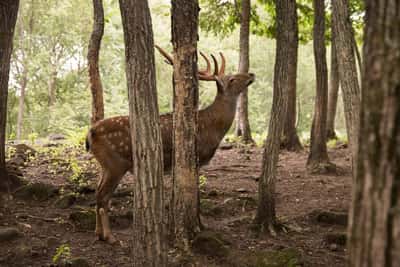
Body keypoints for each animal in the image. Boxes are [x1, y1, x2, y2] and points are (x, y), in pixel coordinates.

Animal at [85, 46, 255, 245]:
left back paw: (98, 233)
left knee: (97, 193)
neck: (213, 127)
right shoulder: (197, 156)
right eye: (232, 79)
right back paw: (109, 236)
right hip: (116, 164)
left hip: (106, 164)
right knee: (103, 196)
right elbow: (195, 191)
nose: (251, 74)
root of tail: (90, 133)